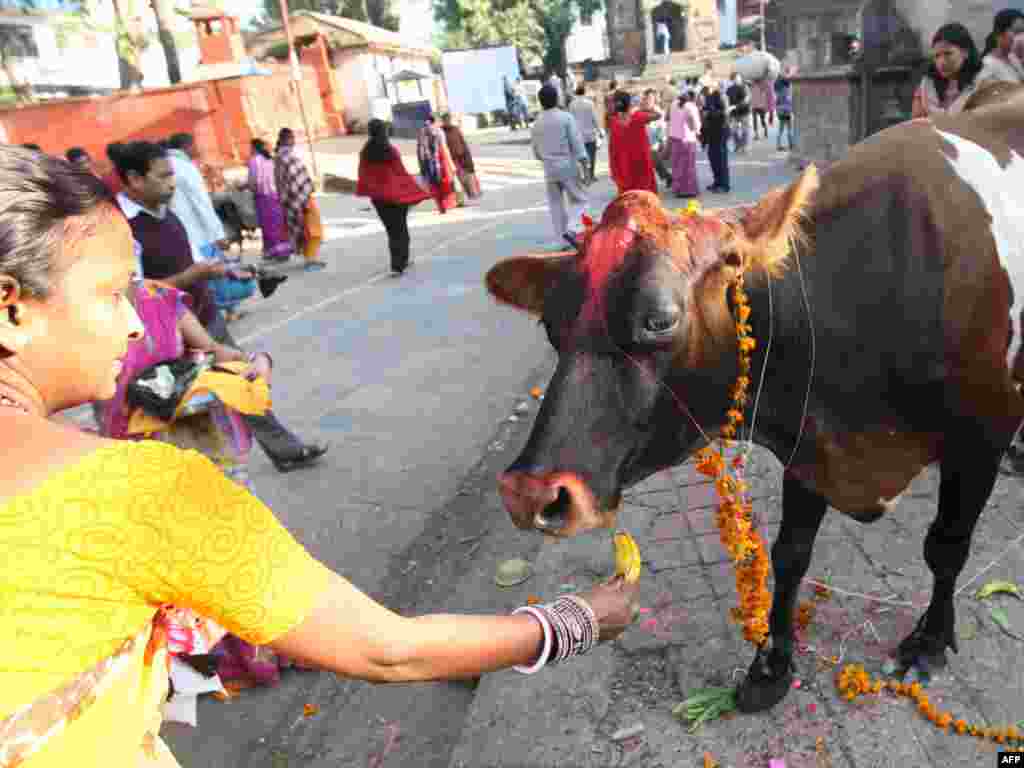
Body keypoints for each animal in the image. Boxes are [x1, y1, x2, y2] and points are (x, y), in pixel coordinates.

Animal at [483, 83, 1024, 716]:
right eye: (551, 325)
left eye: (660, 318)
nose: (528, 492)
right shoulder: (811, 441)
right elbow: (790, 553)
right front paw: (771, 664)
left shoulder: (982, 436)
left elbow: (946, 547)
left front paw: (929, 642)